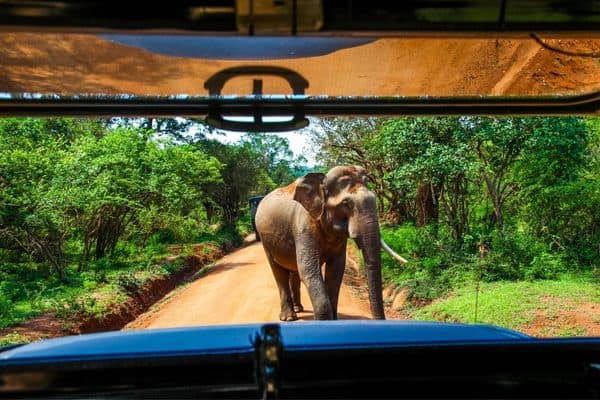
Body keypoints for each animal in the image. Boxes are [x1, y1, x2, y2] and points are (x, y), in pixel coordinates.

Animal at [253, 164, 384, 320]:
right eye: (346, 204)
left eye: (375, 198)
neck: (321, 181)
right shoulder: (304, 226)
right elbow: (308, 269)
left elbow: (336, 270)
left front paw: (333, 320)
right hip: (265, 241)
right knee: (279, 273)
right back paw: (289, 317)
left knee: (294, 271)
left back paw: (298, 308)